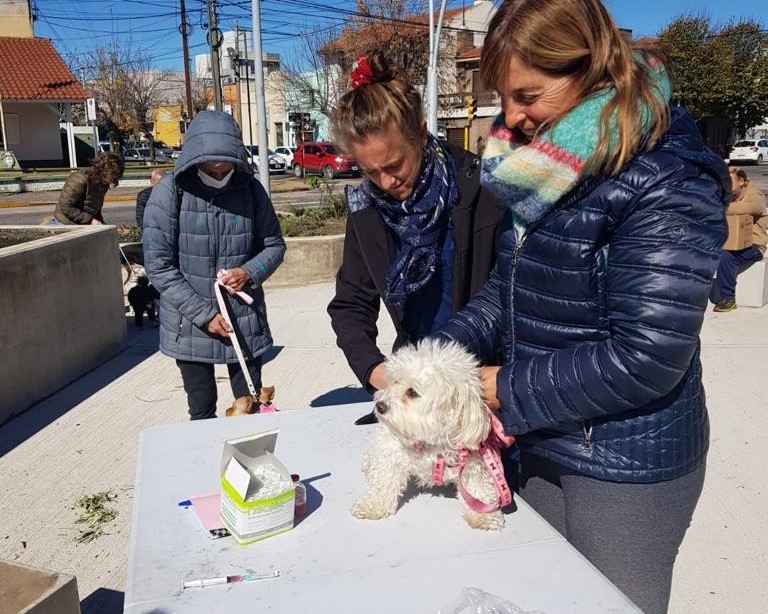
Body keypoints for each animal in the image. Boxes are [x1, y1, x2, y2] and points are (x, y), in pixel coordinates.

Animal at [352, 340, 512, 532]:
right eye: (395, 382)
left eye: (412, 392)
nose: (380, 405)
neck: (432, 440)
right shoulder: (392, 450)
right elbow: (384, 480)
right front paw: (372, 505)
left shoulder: (475, 462)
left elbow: (478, 488)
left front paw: (483, 515)